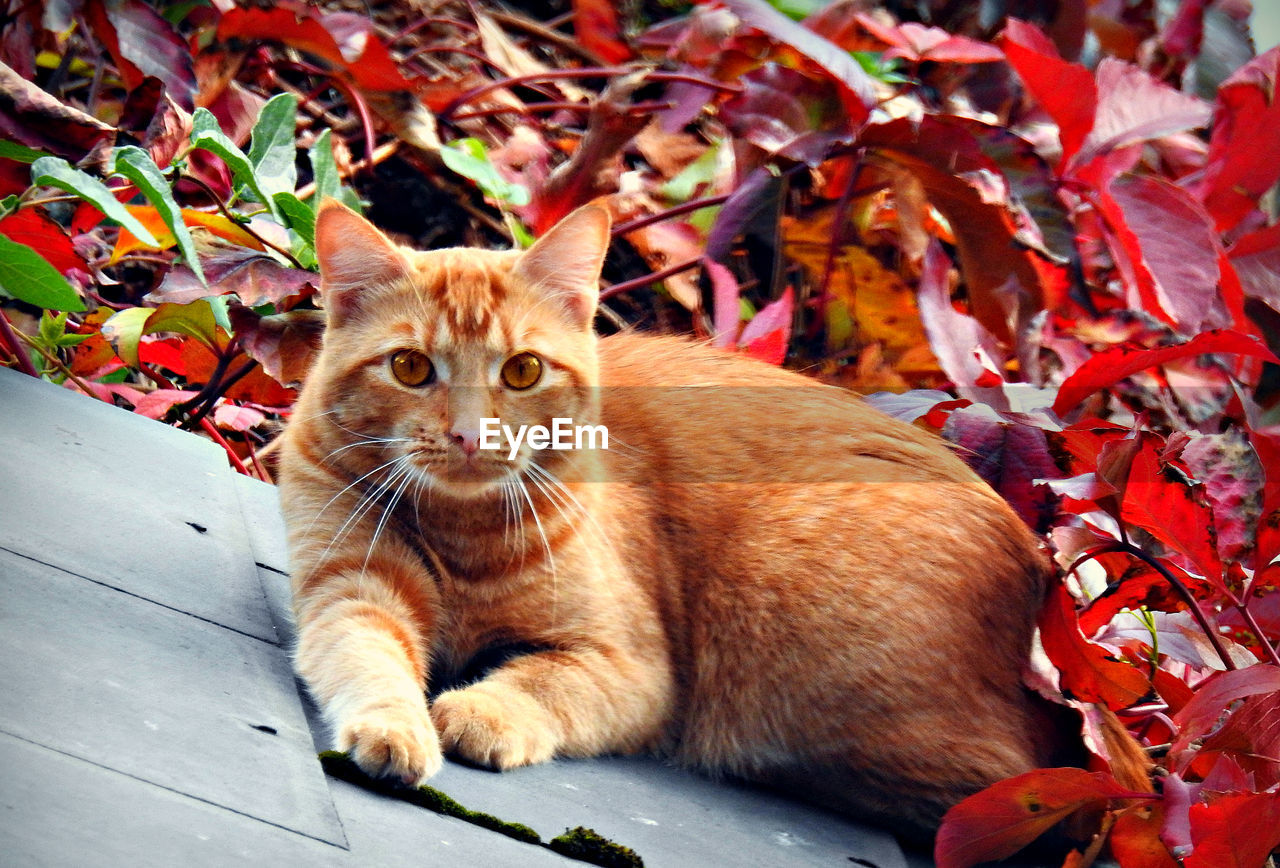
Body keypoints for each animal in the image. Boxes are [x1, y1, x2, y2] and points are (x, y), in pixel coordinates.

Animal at [282, 198, 1070, 844]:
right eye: (411, 368)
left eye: (523, 371)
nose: (471, 436)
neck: (462, 537)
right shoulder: (351, 593)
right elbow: (366, 657)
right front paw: (396, 727)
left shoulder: (631, 666)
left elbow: (542, 682)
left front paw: (484, 712)